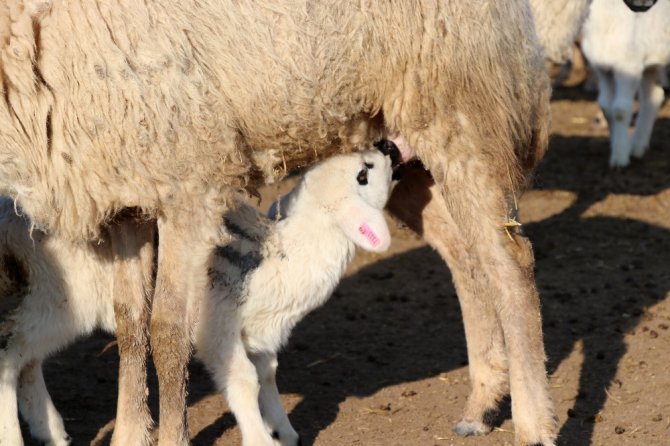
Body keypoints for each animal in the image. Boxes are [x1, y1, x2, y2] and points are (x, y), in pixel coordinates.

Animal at [0, 148, 400, 446]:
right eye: (363, 174)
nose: (387, 147)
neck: (282, 257)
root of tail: (11, 214)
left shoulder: (258, 334)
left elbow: (268, 374)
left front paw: (284, 430)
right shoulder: (218, 329)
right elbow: (244, 380)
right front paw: (260, 437)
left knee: (28, 361)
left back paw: (51, 430)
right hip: (61, 296)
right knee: (10, 355)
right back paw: (15, 435)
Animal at [584, 0, 670, 167]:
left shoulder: (628, 65)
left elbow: (620, 110)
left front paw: (620, 157)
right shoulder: (603, 68)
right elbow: (606, 107)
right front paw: (618, 144)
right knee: (653, 98)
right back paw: (638, 146)